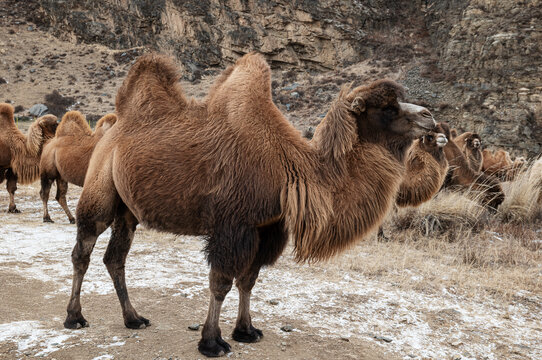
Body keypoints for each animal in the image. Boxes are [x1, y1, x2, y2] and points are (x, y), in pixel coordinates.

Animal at [62, 52, 438, 358]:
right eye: (387, 108)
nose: (430, 117)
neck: (290, 168)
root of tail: (114, 127)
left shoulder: (266, 227)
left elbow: (249, 280)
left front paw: (246, 331)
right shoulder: (233, 224)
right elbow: (221, 282)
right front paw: (211, 342)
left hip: (128, 209)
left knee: (115, 258)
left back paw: (134, 318)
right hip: (101, 185)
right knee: (84, 249)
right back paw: (75, 317)